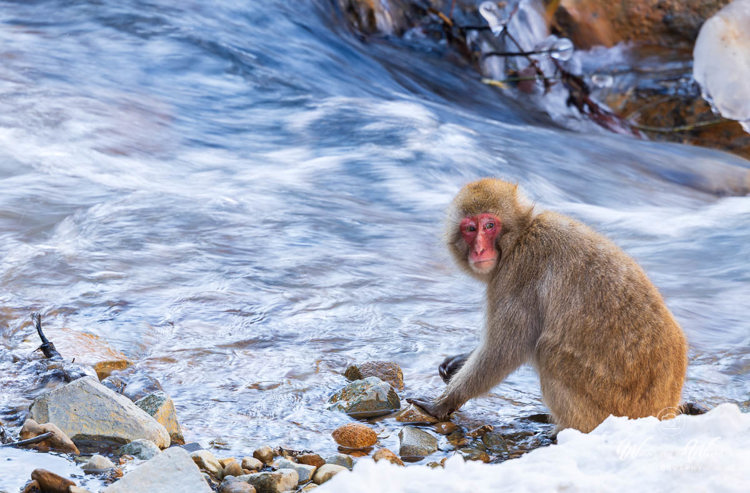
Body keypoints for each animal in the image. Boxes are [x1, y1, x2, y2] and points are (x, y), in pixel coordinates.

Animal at [409, 178, 688, 433]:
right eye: (469, 228)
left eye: (489, 225)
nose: (478, 249)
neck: (521, 236)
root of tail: (663, 409)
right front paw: (458, 361)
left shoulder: (519, 272)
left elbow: (505, 349)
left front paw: (442, 404)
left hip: (612, 404)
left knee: (548, 351)